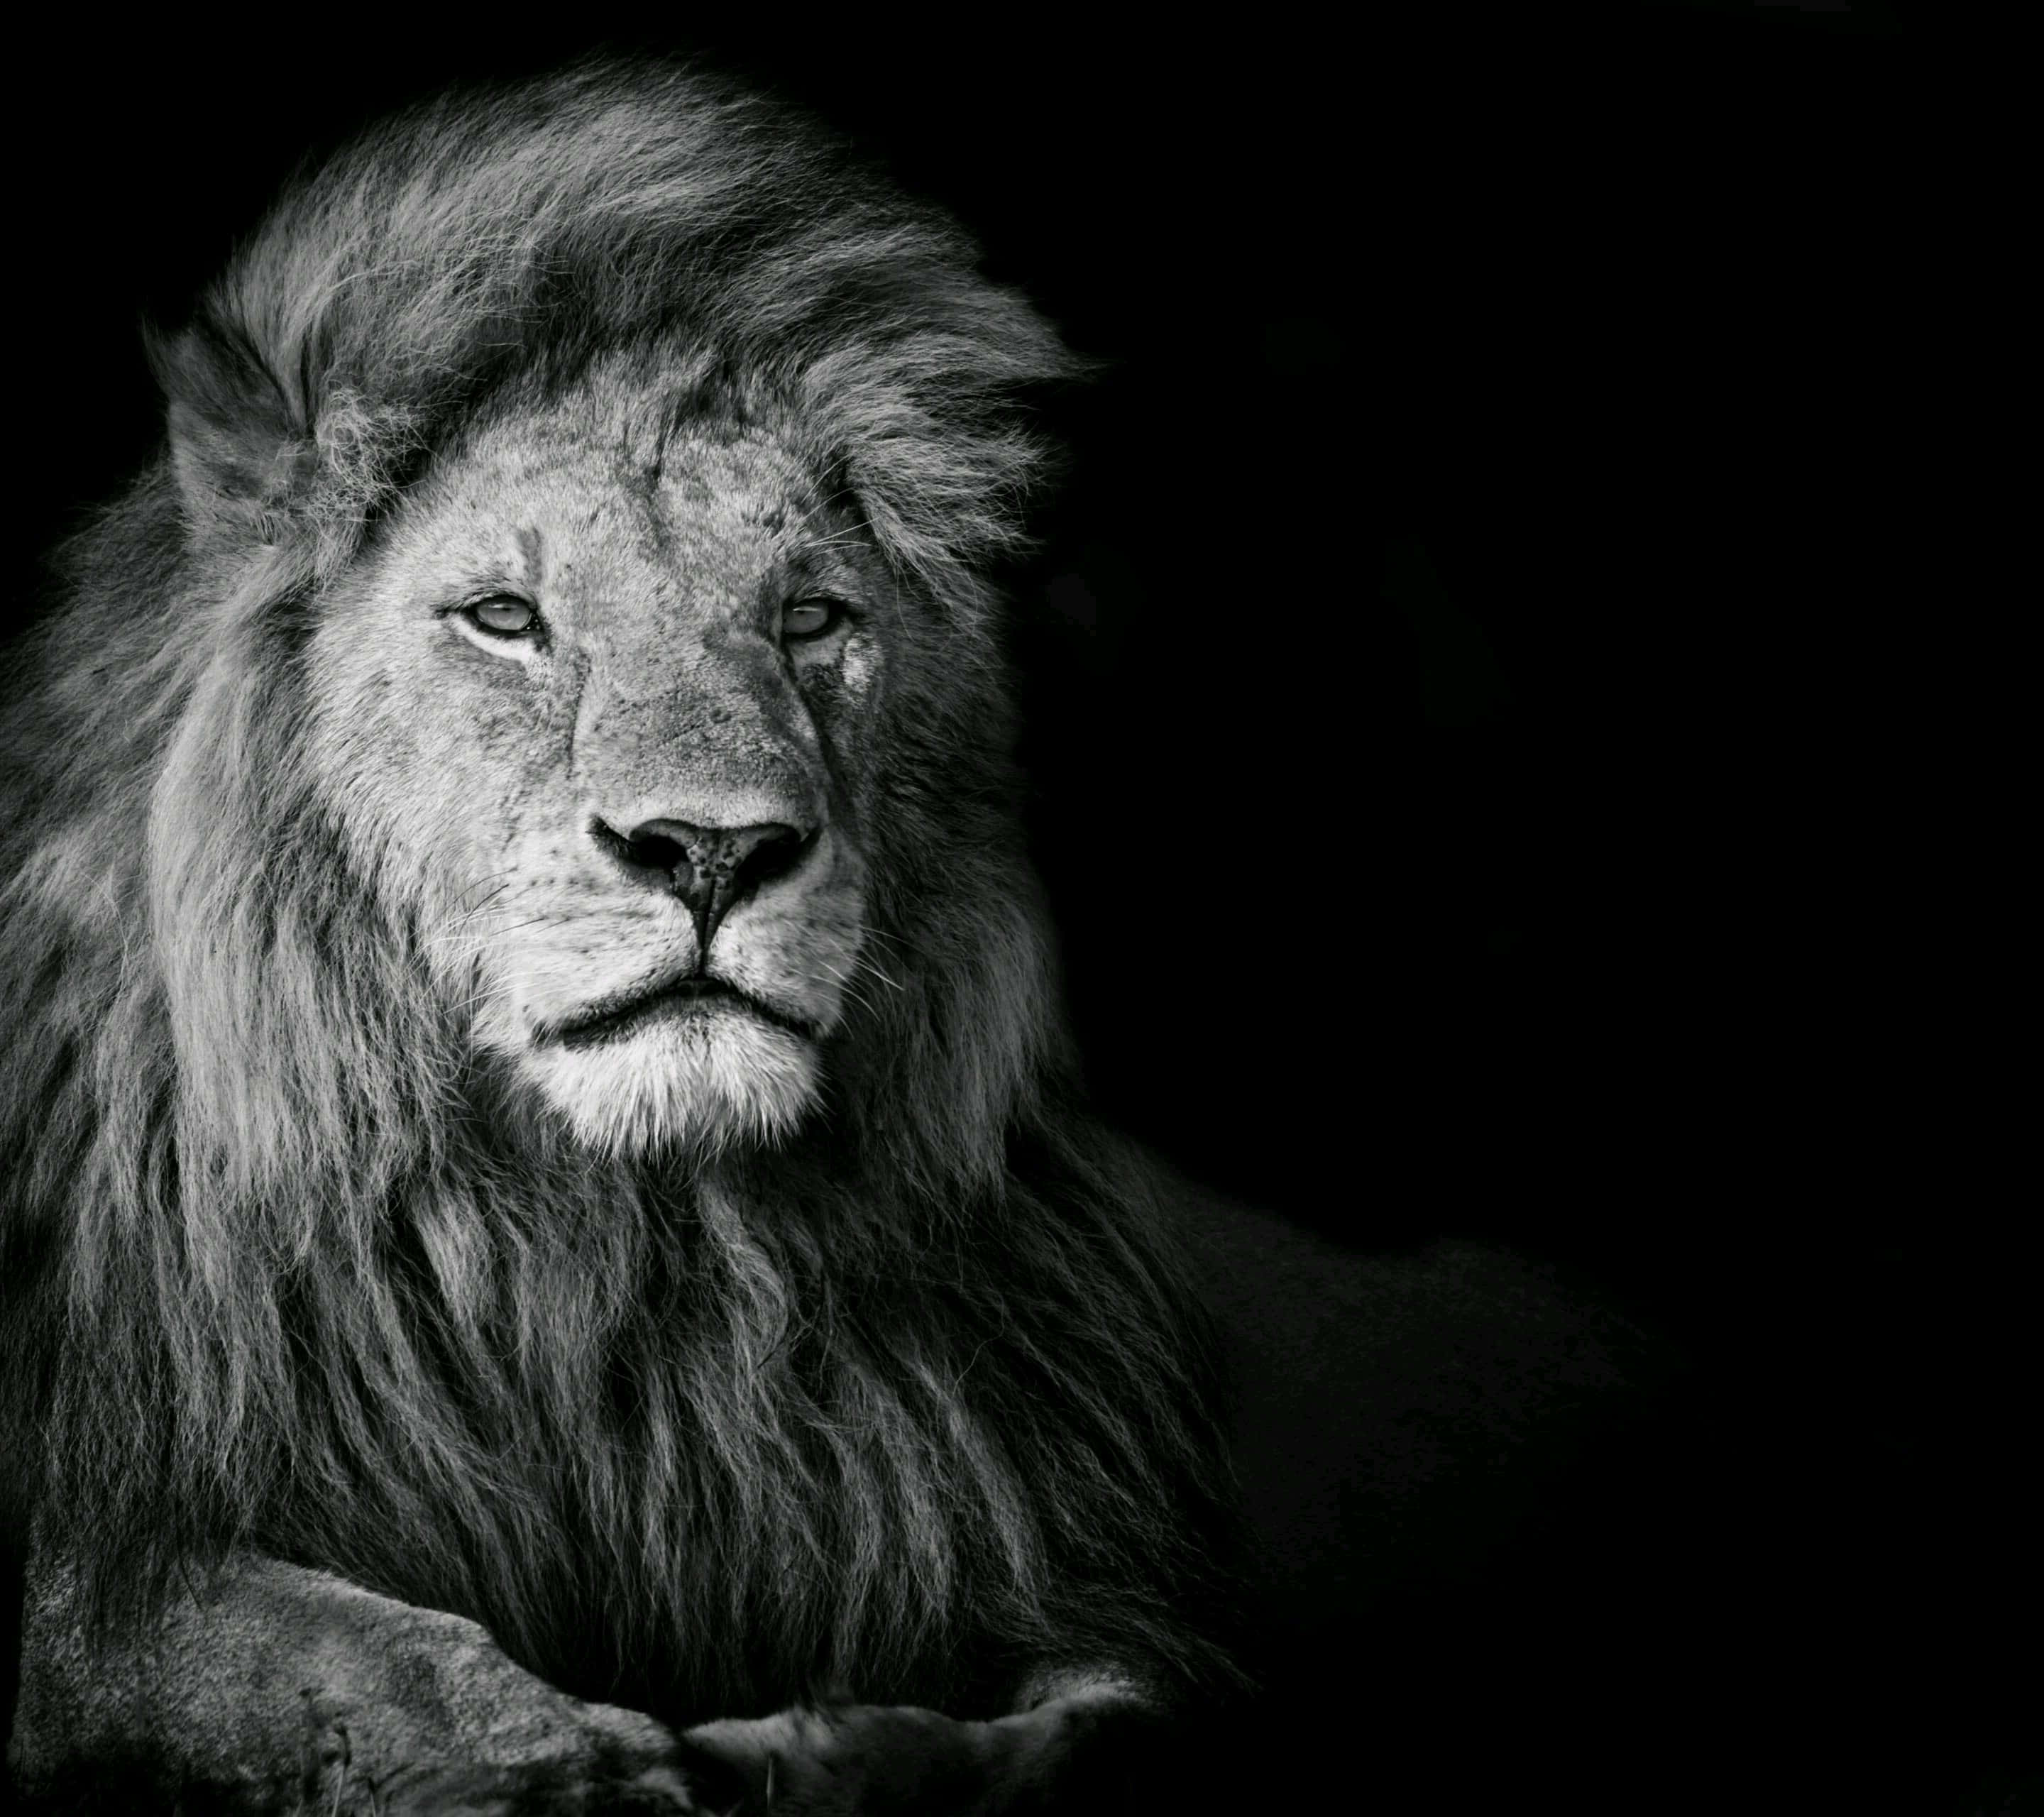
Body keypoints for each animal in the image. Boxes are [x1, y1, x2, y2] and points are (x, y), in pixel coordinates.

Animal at [1, 57, 1644, 1815]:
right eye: (506, 618)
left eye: (809, 619)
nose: (714, 848)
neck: (628, 1270)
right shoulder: (118, 1551)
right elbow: (277, 1634)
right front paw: (566, 1760)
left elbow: (1107, 1720)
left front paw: (830, 1750)